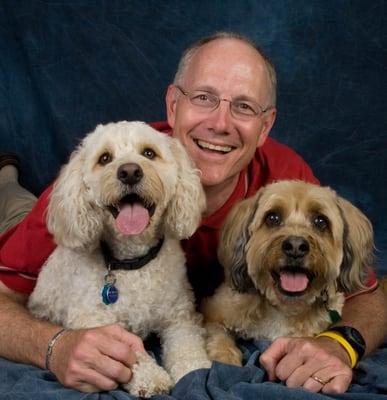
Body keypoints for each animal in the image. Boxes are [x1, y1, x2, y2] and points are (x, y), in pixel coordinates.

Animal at [202, 180, 374, 366]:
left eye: (320, 221)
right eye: (272, 218)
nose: (295, 246)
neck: (284, 308)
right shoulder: (213, 313)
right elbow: (219, 336)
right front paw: (226, 358)